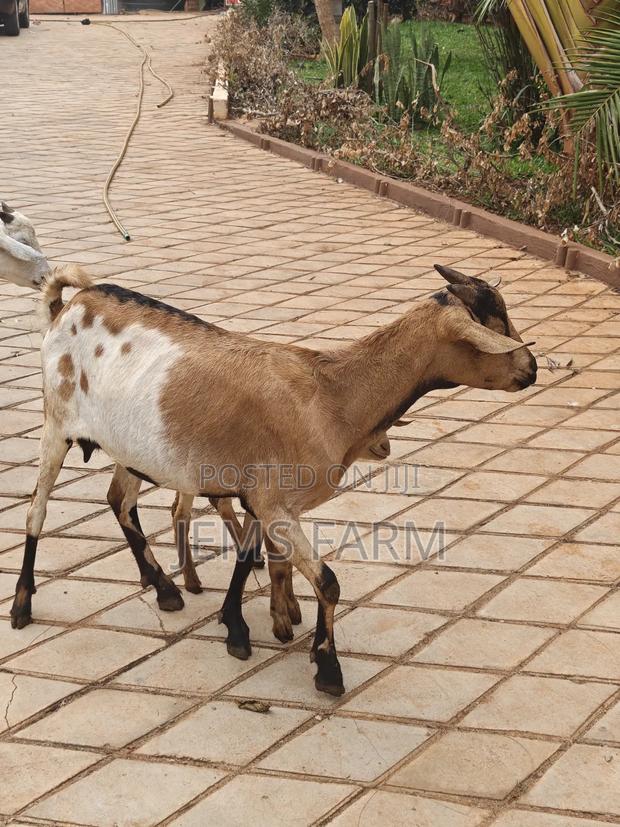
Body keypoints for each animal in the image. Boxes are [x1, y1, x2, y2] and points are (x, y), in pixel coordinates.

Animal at [10, 264, 536, 696]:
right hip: (56, 421)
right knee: (37, 508)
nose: (530, 368)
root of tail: (67, 305)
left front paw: (238, 627)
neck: (332, 395)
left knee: (119, 500)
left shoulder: (264, 499)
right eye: (495, 321)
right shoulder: (276, 504)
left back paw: (163, 587)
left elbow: (251, 557)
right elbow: (327, 582)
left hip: (131, 446)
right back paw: (22, 605)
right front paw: (327, 669)